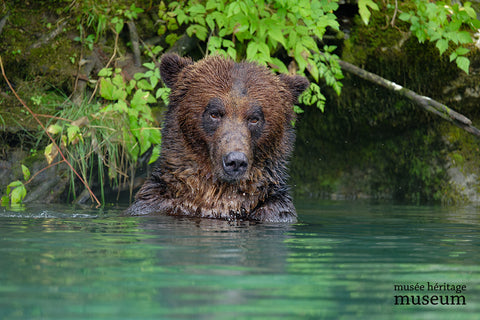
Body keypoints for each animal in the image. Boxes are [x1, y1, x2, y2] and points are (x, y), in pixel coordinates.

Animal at [125, 53, 310, 222]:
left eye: (254, 118)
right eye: (214, 113)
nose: (236, 161)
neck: (216, 198)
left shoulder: (274, 211)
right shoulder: (156, 203)